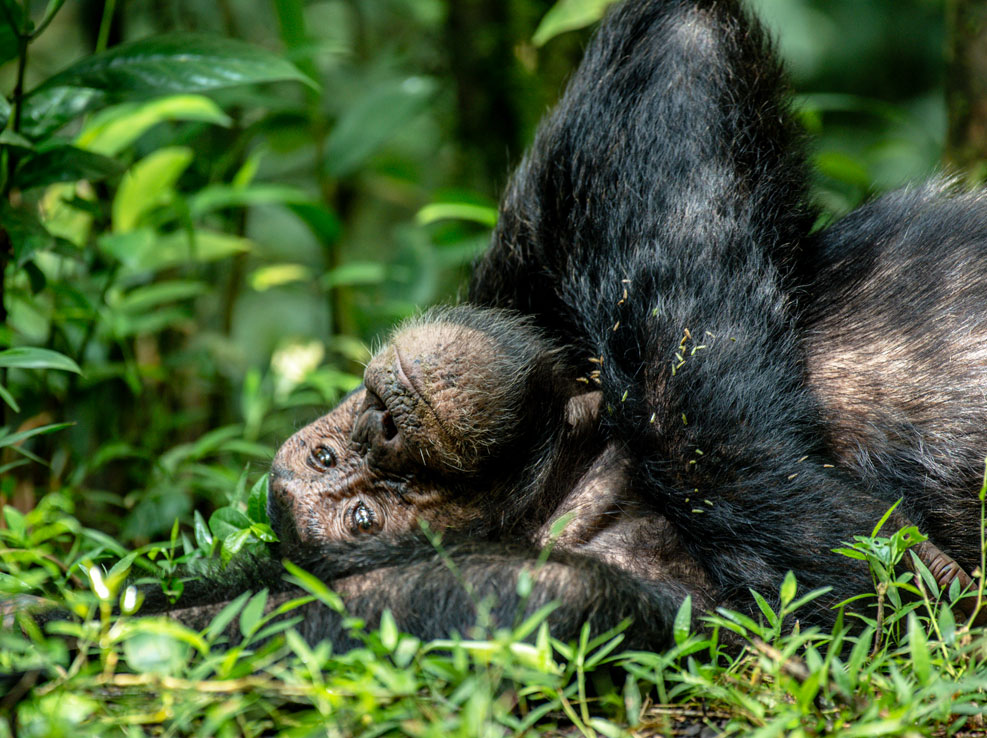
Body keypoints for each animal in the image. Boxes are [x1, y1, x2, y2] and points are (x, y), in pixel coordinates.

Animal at [162, 0, 987, 644]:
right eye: (365, 518)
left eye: (327, 458)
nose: (386, 424)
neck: (566, 464)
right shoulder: (591, 585)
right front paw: (894, 558)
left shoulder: (513, 276)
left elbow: (675, 51)